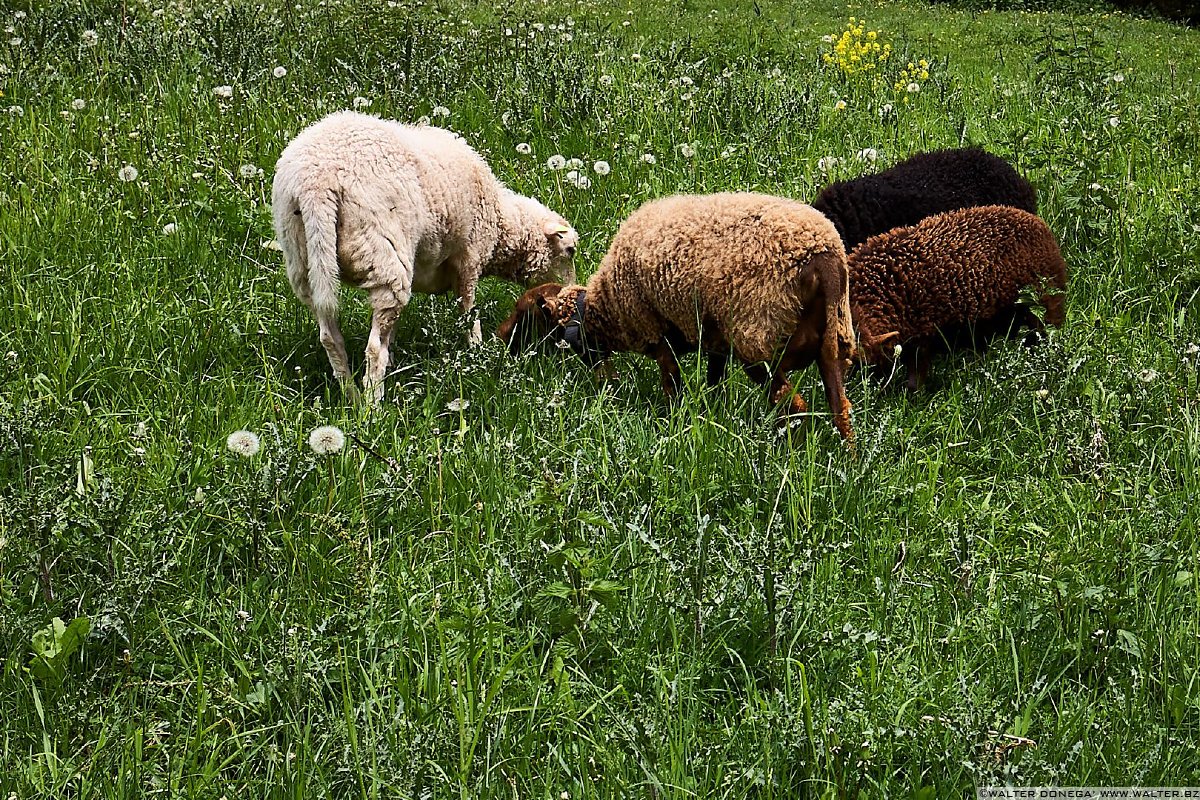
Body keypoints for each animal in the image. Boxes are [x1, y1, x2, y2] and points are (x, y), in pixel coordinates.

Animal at [271, 107, 576, 400]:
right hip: (384, 255)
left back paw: (351, 396)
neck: (501, 222)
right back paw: (372, 404)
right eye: (570, 250)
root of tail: (316, 183)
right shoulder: (469, 258)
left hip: (304, 260)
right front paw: (478, 353)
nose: (572, 296)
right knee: (374, 347)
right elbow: (469, 311)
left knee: (331, 337)